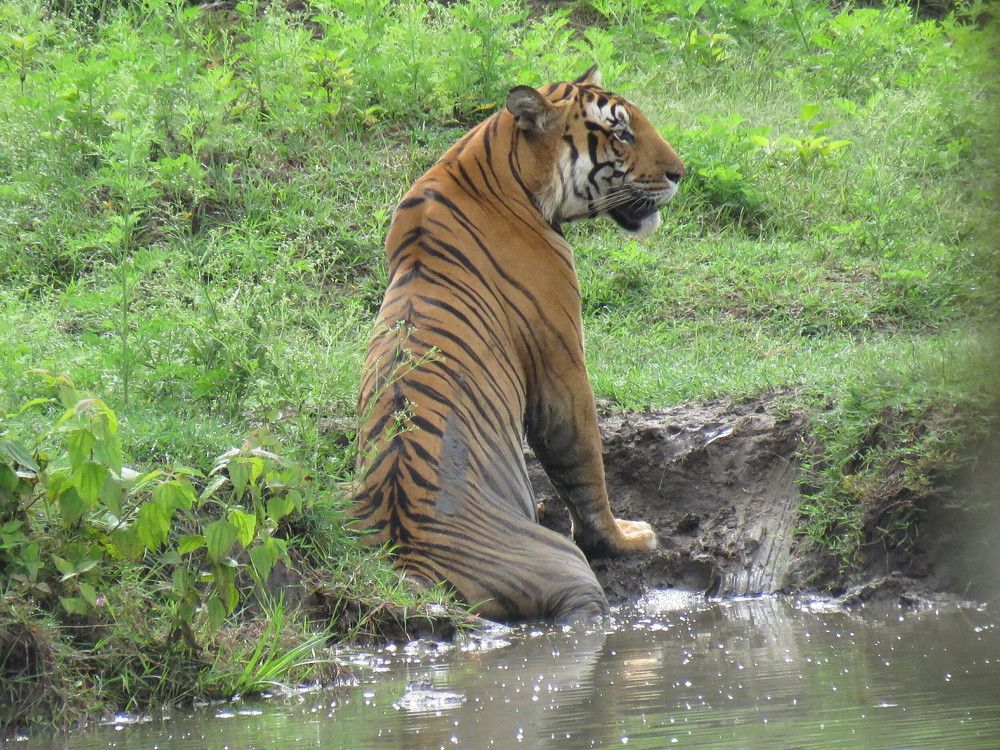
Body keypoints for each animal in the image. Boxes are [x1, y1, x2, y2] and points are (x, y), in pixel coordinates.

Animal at [351, 66, 685, 623]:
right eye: (620, 132)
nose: (680, 173)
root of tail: (409, 559)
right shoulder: (561, 363)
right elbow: (584, 463)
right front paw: (625, 538)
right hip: (565, 573)